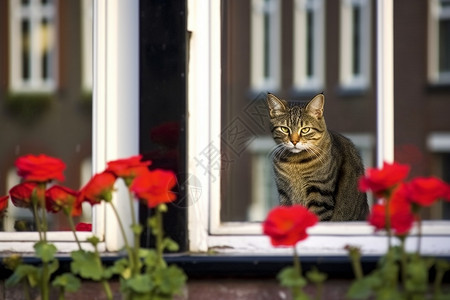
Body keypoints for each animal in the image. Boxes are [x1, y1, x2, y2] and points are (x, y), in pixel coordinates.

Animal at [268, 92, 370, 221]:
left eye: (305, 130)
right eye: (284, 129)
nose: (294, 141)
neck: (295, 163)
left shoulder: (320, 191)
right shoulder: (284, 192)